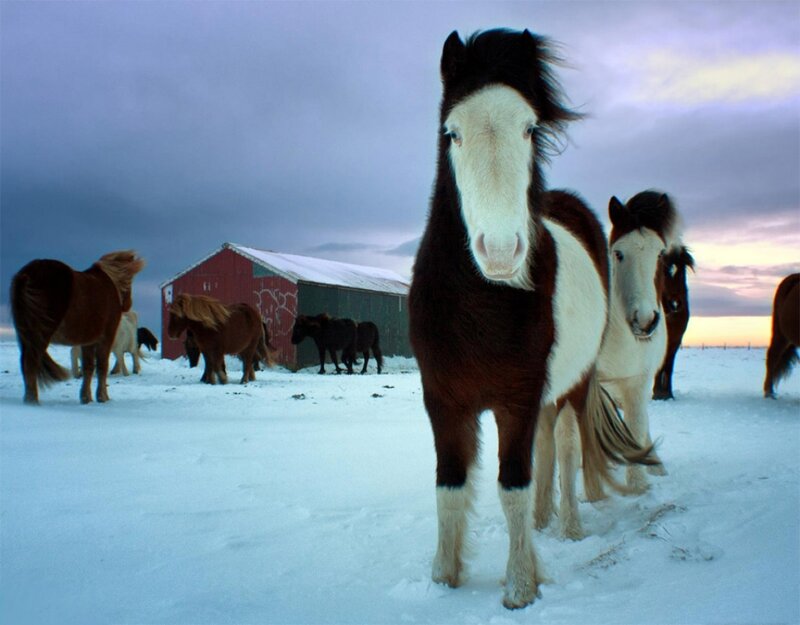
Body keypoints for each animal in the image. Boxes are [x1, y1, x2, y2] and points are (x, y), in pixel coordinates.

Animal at [10, 250, 145, 404]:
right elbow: (102, 366)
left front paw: (86, 397)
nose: (127, 305)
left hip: (26, 335)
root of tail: (29, 273)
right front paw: (102, 397)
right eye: (130, 279)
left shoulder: (88, 341)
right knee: (31, 362)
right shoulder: (106, 338)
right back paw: (32, 401)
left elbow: (88, 367)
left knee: (25, 363)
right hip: (40, 335)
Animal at [408, 29, 658, 609]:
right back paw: (546, 522)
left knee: (563, 449)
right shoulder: (443, 401)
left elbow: (512, 487)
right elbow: (449, 488)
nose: (501, 252)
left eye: (529, 129)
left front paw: (520, 586)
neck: (479, 309)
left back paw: (566, 526)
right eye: (451, 132)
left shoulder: (516, 400)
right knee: (547, 449)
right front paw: (443, 578)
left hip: (573, 386)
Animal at [535, 191, 678, 540]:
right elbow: (566, 442)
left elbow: (636, 425)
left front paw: (637, 485)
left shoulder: (638, 382)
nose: (645, 320)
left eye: (660, 255)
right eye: (619, 254)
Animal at [653, 245, 695, 400]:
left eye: (682, 272)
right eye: (665, 272)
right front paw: (657, 393)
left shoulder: (675, 341)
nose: (675, 304)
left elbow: (668, 366)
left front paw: (667, 393)